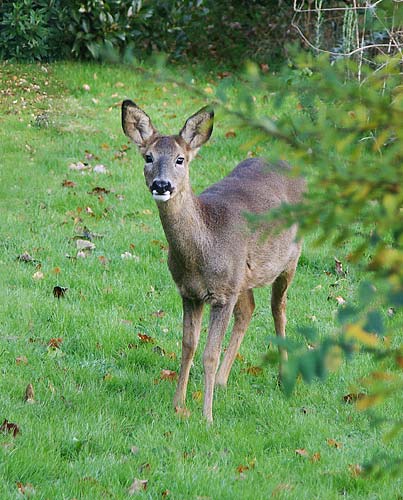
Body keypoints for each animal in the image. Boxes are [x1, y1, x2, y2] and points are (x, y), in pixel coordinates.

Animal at [121, 101, 304, 422]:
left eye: (180, 159)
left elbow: (209, 353)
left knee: (278, 309)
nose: (161, 184)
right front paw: (178, 405)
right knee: (249, 310)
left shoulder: (223, 295)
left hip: (289, 259)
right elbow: (188, 346)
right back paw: (221, 381)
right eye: (148, 157)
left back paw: (282, 378)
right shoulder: (189, 292)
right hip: (243, 276)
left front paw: (207, 417)